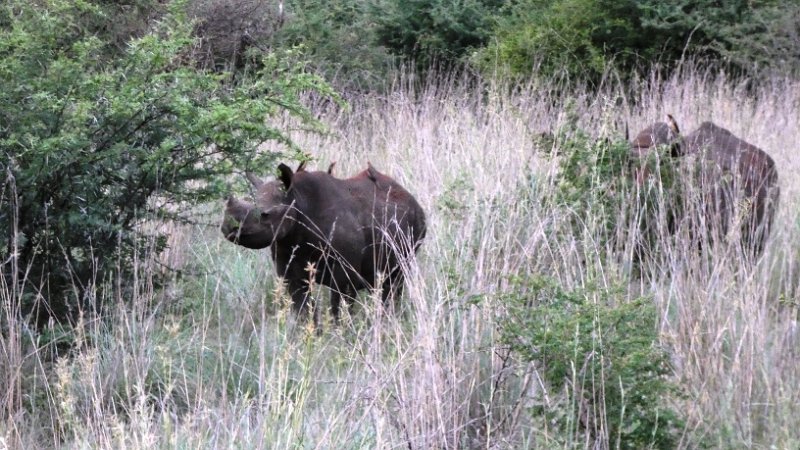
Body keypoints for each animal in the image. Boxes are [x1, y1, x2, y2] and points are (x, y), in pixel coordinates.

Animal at [221, 162, 426, 325]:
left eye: (266, 215)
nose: (227, 228)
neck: (298, 200)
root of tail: (411, 197)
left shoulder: (345, 270)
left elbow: (339, 306)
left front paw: (341, 336)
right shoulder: (287, 262)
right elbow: (302, 307)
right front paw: (309, 335)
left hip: (415, 231)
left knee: (395, 282)